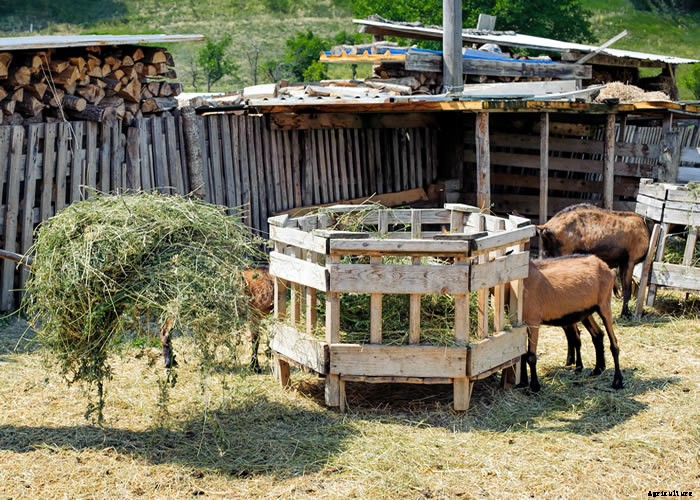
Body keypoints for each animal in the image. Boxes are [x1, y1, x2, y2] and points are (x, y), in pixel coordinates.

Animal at [518, 255, 624, 393]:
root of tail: (609, 269)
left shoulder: (533, 320)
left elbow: (530, 356)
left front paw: (535, 386)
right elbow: (521, 354)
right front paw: (522, 382)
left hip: (604, 305)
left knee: (614, 343)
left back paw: (617, 381)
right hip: (587, 311)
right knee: (598, 334)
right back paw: (597, 369)